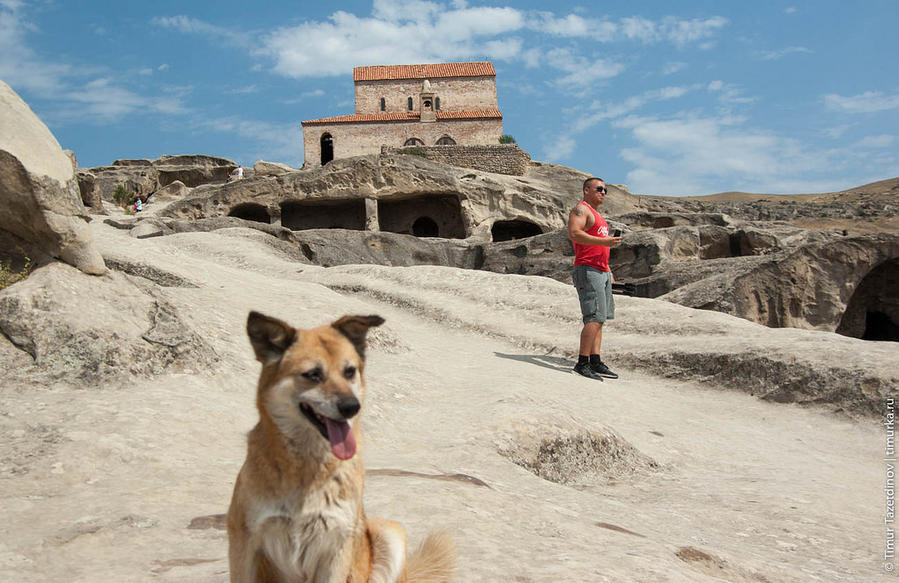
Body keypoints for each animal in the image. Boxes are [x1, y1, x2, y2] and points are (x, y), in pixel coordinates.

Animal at [229, 312, 458, 583]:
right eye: (313, 374)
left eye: (350, 371)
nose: (351, 406)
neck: (309, 466)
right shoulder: (244, 543)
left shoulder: (336, 547)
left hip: (389, 532)